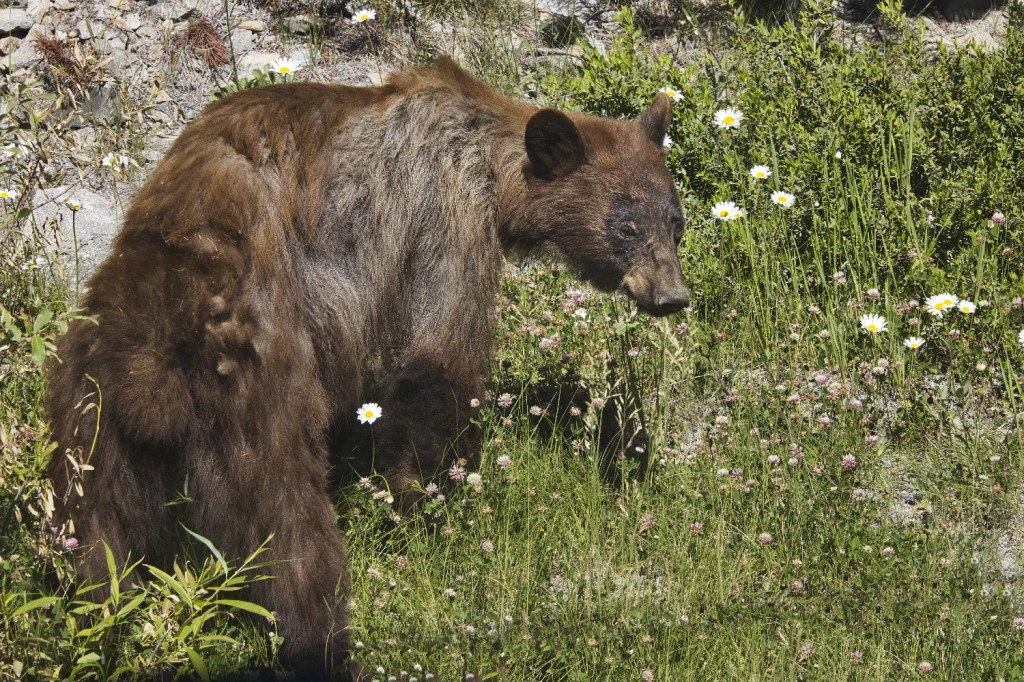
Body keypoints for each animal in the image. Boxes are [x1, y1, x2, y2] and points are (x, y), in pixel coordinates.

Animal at [46, 58, 689, 678]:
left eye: (676, 221)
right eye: (626, 226)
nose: (672, 296)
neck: (493, 159)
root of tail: (150, 360)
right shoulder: (444, 210)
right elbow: (437, 356)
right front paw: (425, 502)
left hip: (87, 403)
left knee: (94, 529)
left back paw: (99, 614)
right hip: (257, 377)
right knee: (288, 521)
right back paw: (324, 646)